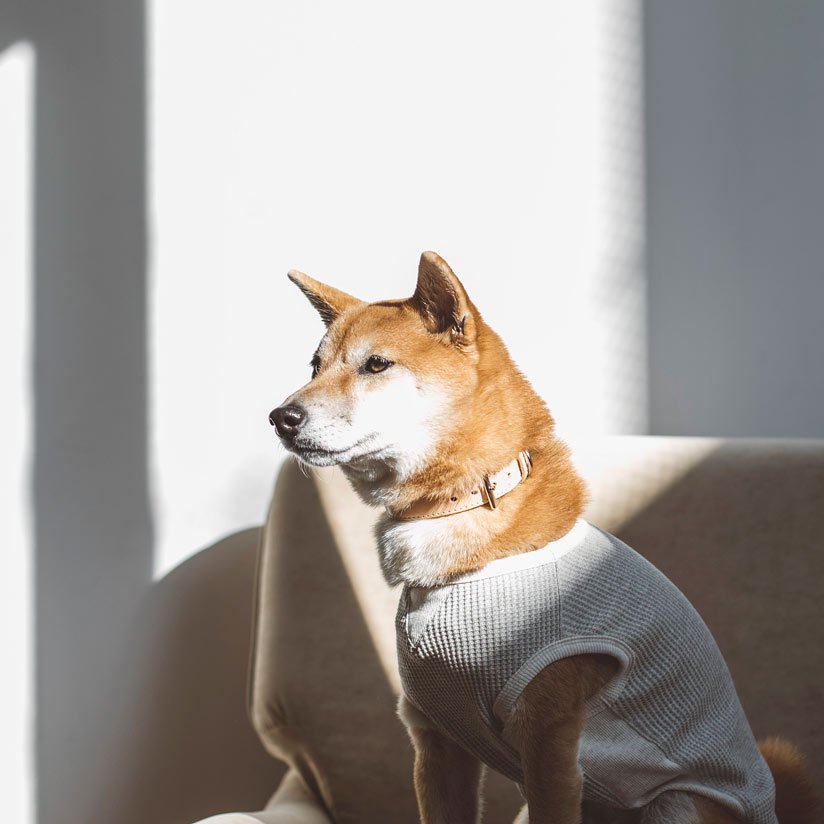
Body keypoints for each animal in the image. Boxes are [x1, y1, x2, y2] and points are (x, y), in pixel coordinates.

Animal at [272, 251, 816, 824]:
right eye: (314, 367)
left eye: (376, 365)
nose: (280, 417)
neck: (457, 506)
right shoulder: (436, 737)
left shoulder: (548, 739)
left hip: (677, 803)